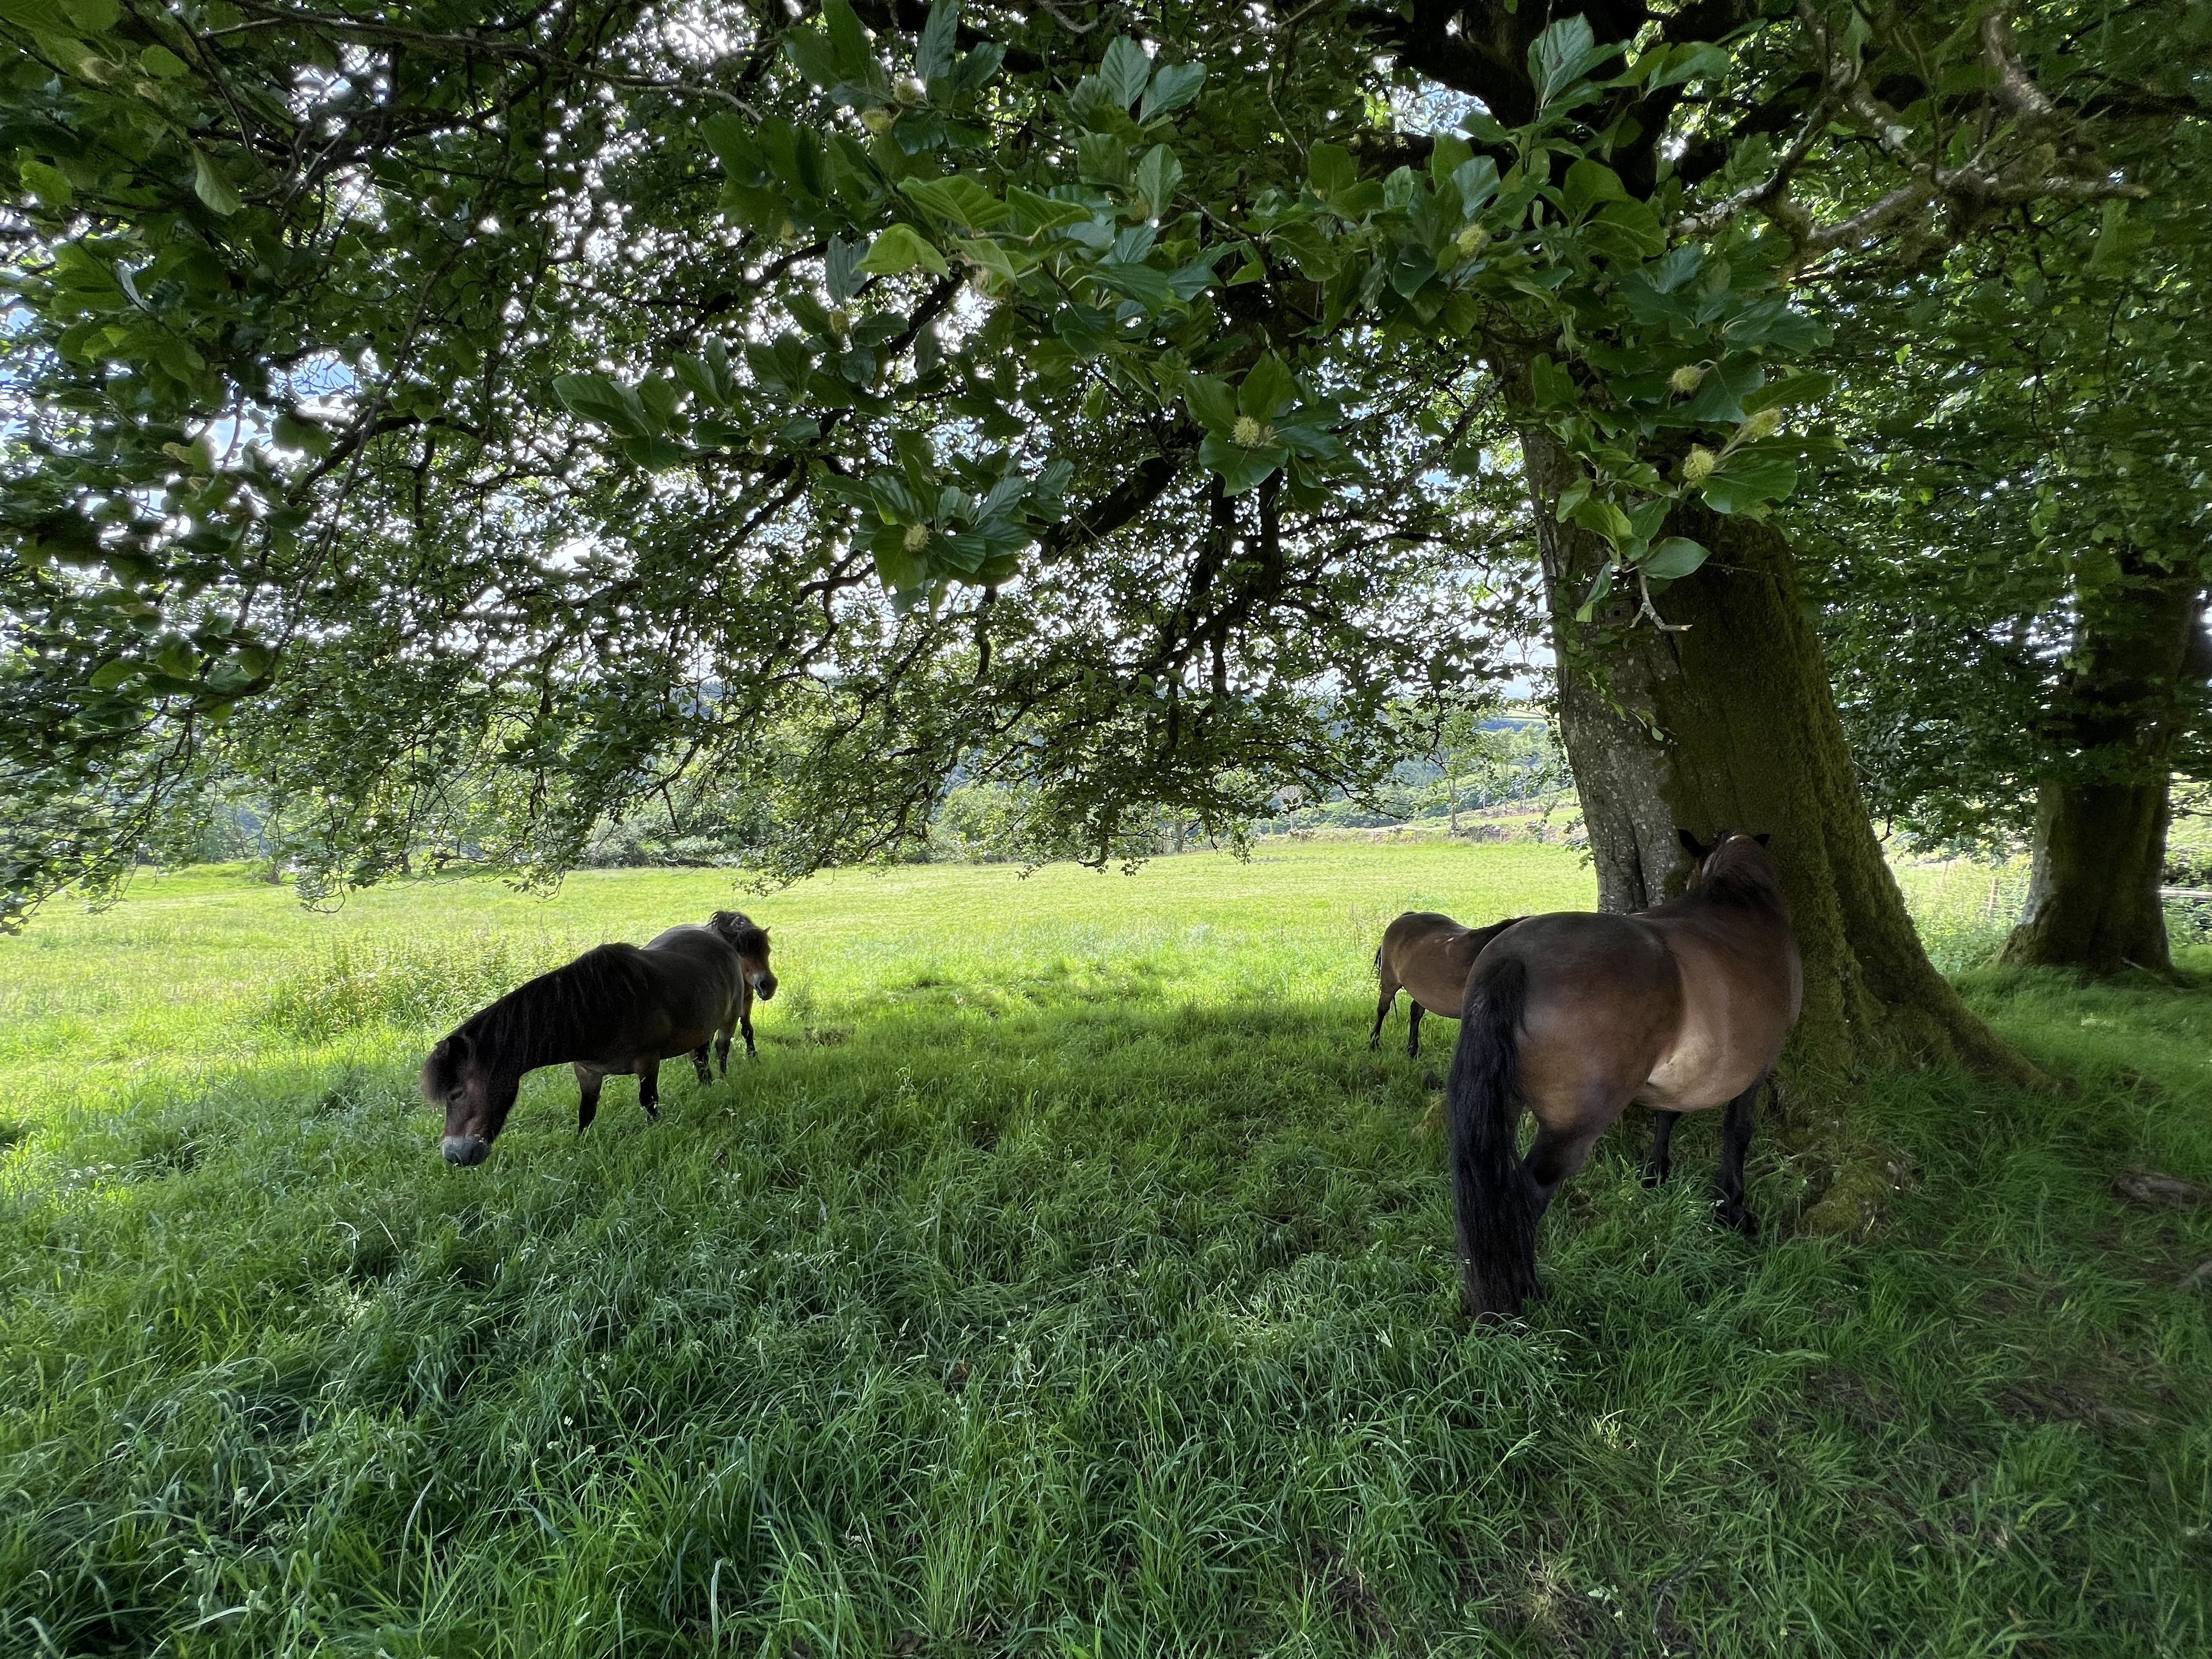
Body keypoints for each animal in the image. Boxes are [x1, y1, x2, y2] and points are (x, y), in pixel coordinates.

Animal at [424, 910, 776, 1166]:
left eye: (456, 1093)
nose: (454, 1156)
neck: (599, 1007)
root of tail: (720, 940)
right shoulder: (587, 1071)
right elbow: (586, 1112)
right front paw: (580, 1150)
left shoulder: (648, 1063)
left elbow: (649, 1102)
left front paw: (658, 1133)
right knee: (700, 1059)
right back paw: (706, 1089)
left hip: (730, 1017)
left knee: (722, 1049)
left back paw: (724, 1083)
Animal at [1371, 911, 1526, 1058]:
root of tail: (1406, 916)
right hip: (1390, 983)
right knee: (1382, 1010)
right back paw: (1374, 1044)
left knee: (1416, 1012)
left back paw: (1412, 1051)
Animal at [1446, 830, 1801, 1321]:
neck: (1742, 902)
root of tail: (1517, 956)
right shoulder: (1760, 1068)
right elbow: (1738, 1132)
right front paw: (1734, 1207)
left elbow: (1668, 1115)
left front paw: (1656, 1175)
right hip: (1571, 1130)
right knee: (1527, 1193)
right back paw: (1528, 1295)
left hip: (1504, 1105)